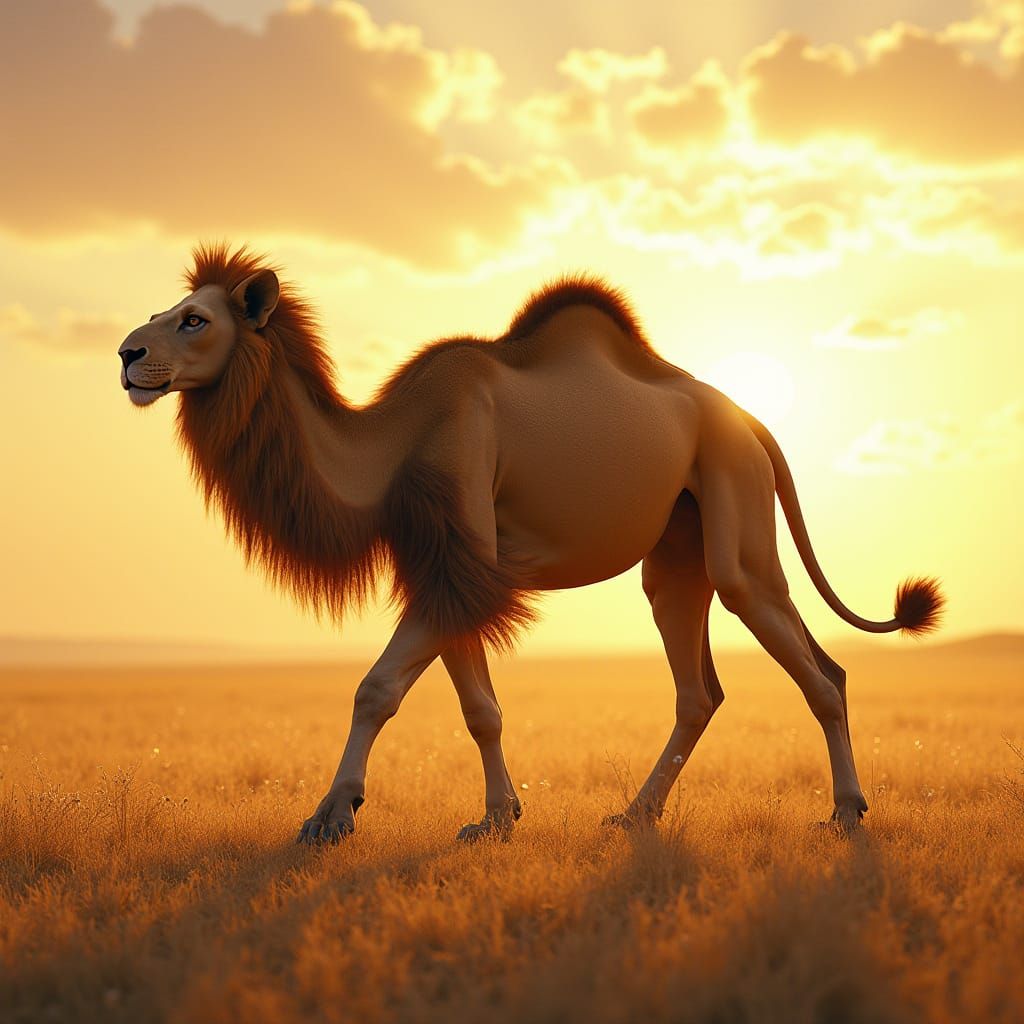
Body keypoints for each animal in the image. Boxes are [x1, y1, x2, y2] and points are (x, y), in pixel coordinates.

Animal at [117, 244, 943, 843]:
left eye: (194, 320)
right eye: (163, 311)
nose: (127, 354)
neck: (390, 446)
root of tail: (753, 420)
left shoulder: (461, 553)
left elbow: (377, 688)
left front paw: (329, 818)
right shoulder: (446, 566)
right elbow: (477, 705)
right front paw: (495, 819)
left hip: (736, 513)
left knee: (820, 670)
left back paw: (844, 813)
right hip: (677, 554)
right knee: (699, 686)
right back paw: (636, 815)